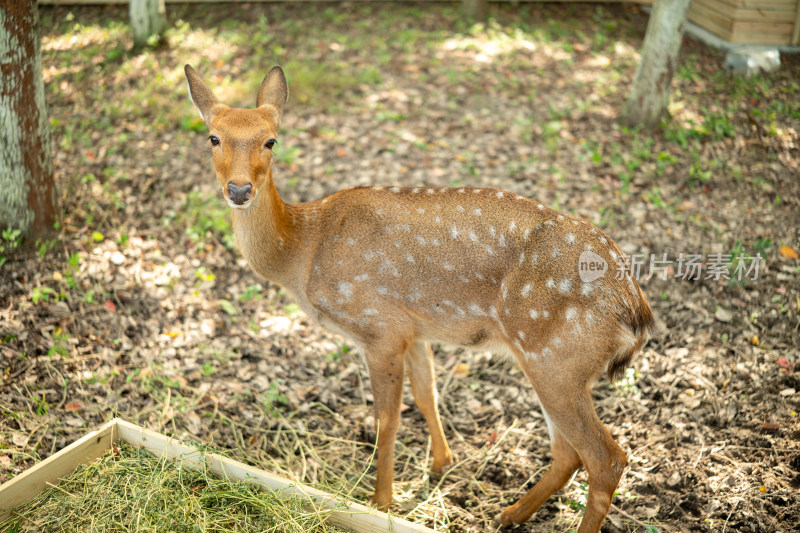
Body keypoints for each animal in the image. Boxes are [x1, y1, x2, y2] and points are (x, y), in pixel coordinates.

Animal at [184, 64, 652, 528]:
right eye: (213, 137)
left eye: (270, 140)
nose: (239, 190)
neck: (303, 250)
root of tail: (635, 307)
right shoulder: (415, 328)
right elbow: (428, 394)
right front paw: (442, 464)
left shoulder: (378, 325)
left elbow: (387, 419)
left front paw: (381, 501)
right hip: (554, 366)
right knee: (568, 453)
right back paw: (509, 512)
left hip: (556, 359)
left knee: (605, 458)